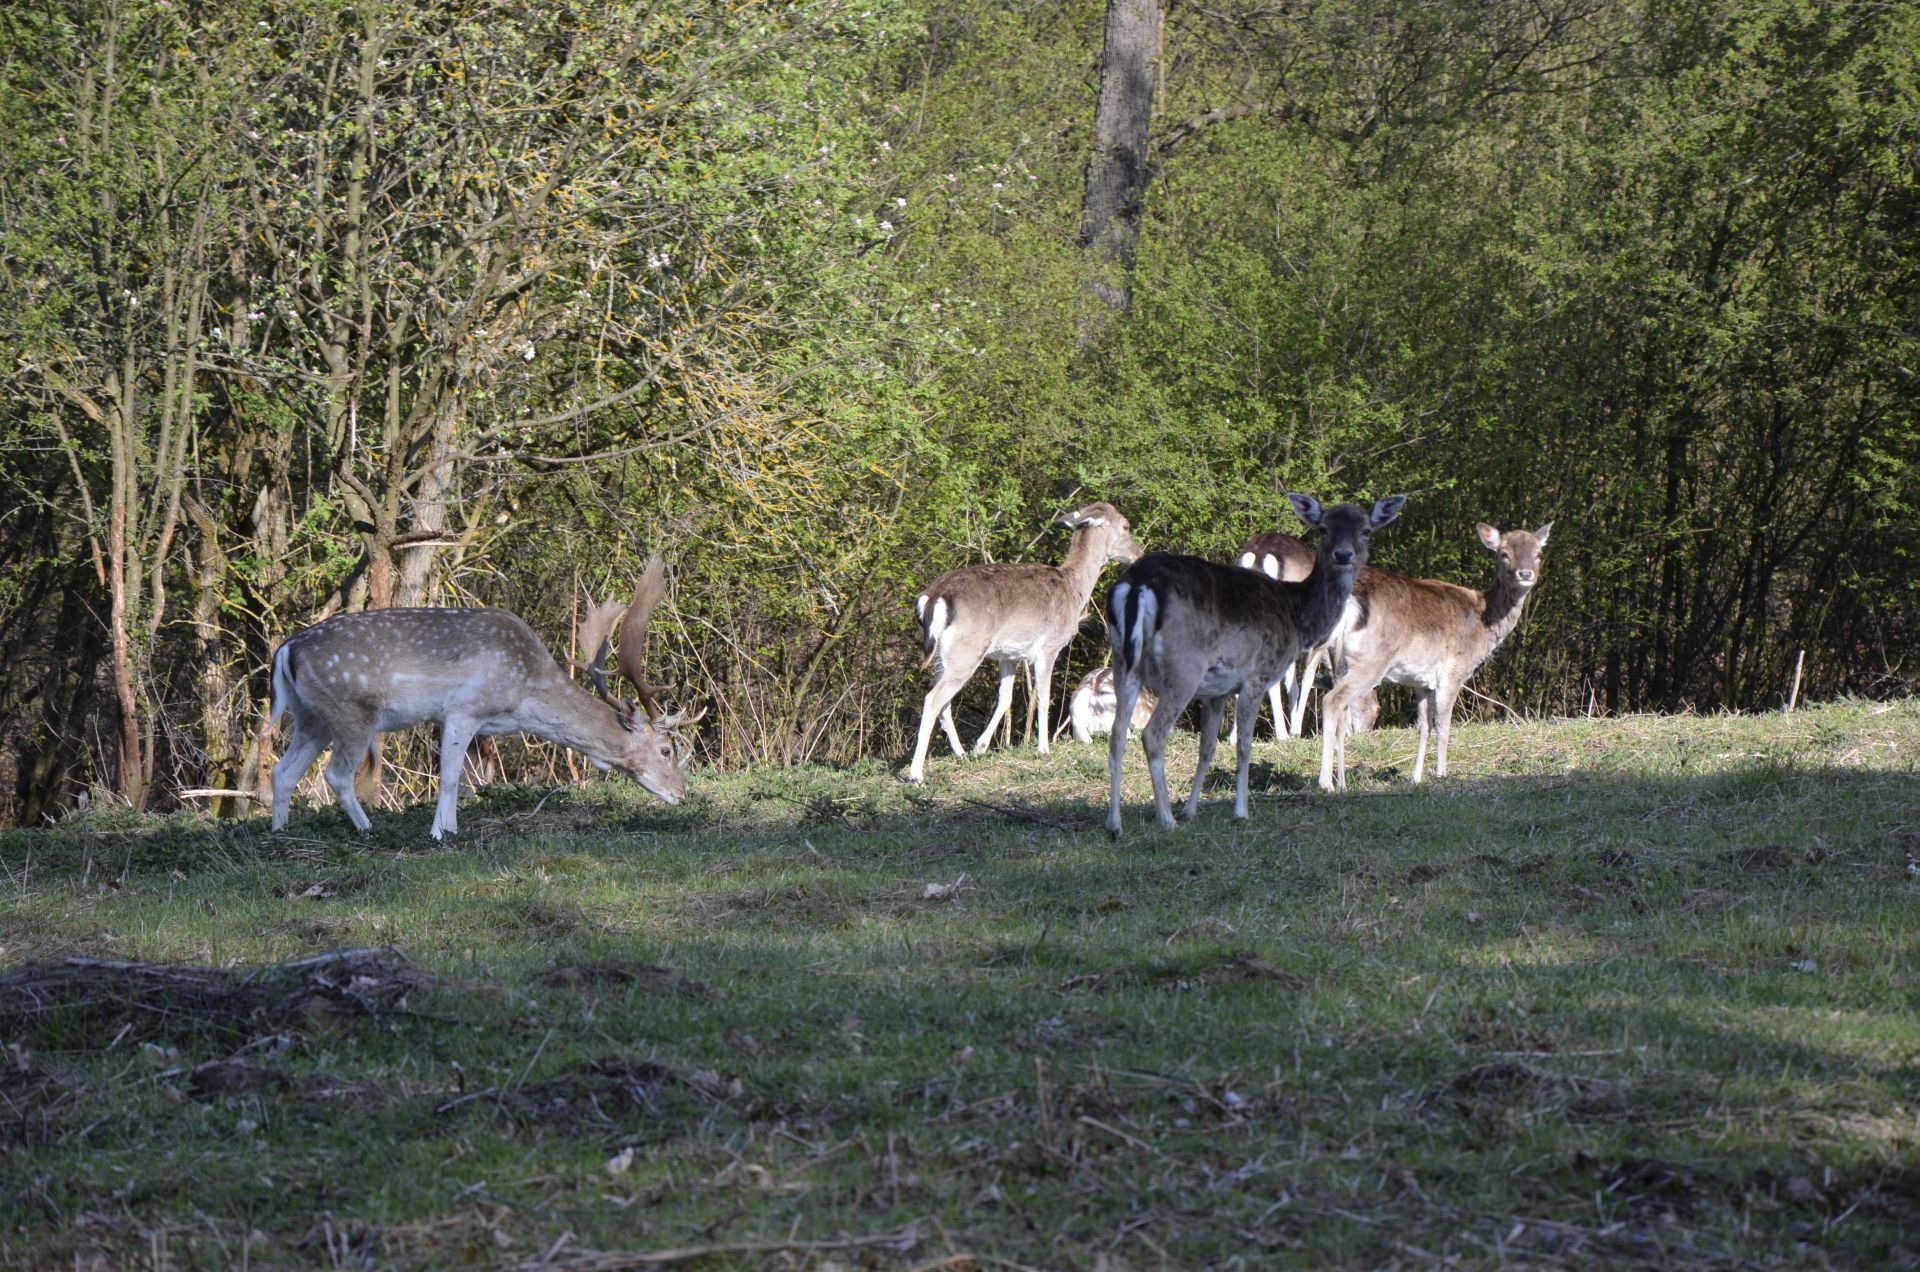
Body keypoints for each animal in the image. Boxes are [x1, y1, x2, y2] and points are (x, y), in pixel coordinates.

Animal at [268, 557, 702, 840]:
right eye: (666, 750)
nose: (682, 793)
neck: (524, 695)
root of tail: (286, 650)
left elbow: (467, 778)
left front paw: (449, 827)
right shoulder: (464, 709)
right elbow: (450, 777)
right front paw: (441, 834)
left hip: (311, 717)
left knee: (282, 771)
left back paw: (279, 831)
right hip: (352, 712)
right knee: (336, 774)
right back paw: (367, 828)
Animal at [907, 502, 1144, 783]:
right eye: (1126, 526)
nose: (1138, 554)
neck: (1074, 591)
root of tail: (932, 599)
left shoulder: (1008, 655)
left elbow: (1005, 698)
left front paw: (980, 747)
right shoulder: (1049, 646)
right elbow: (1042, 695)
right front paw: (1043, 749)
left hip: (941, 657)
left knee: (944, 702)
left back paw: (960, 753)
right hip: (966, 652)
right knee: (933, 699)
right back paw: (916, 775)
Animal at [1104, 493, 1405, 837]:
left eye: (1366, 530)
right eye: (1323, 529)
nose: (1343, 554)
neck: (1296, 614)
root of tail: (1136, 586)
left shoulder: (1218, 690)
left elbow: (1208, 747)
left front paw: (1191, 810)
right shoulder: (1256, 676)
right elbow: (1244, 745)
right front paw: (1241, 811)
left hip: (1123, 662)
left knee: (1117, 735)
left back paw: (1115, 824)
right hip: (1184, 668)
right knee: (1152, 734)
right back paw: (1166, 819)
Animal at [1317, 522, 1551, 791]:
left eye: (1538, 553)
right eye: (1504, 554)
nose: (1526, 574)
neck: (1482, 624)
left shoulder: (1422, 682)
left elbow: (1423, 727)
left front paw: (1416, 778)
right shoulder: (1452, 672)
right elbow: (1443, 725)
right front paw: (1441, 774)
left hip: (1338, 661)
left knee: (1342, 712)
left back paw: (1342, 784)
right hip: (1371, 661)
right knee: (1332, 701)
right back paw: (1325, 783)